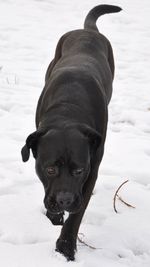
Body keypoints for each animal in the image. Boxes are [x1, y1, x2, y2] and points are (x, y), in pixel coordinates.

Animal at [21, 4, 122, 262]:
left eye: (78, 170)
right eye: (50, 169)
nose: (64, 199)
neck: (69, 109)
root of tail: (88, 30)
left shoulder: (91, 171)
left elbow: (78, 213)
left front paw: (65, 246)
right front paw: (54, 215)